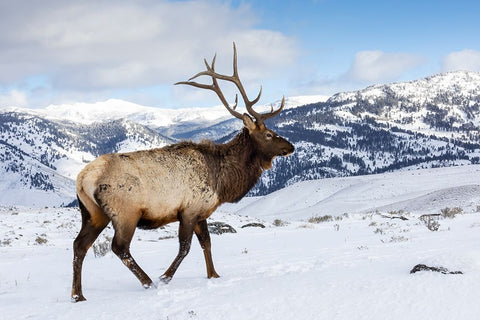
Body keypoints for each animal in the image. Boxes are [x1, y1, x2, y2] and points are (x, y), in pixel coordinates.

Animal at [71, 43, 294, 302]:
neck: (223, 181)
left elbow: (207, 242)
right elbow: (185, 247)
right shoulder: (188, 210)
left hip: (92, 213)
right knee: (119, 247)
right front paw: (165, 277)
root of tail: (83, 178)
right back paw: (148, 282)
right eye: (269, 134)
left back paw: (77, 295)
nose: (291, 146)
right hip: (125, 212)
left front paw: (214, 275)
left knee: (79, 245)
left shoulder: (202, 211)